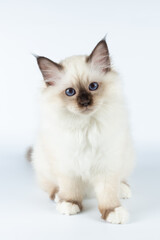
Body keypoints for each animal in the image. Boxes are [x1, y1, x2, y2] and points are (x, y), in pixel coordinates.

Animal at [30, 38, 134, 224]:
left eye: (93, 86)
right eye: (70, 92)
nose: (85, 102)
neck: (86, 127)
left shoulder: (107, 165)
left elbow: (108, 194)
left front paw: (113, 211)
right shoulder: (67, 164)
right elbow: (70, 189)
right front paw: (69, 204)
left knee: (120, 180)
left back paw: (123, 189)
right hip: (42, 160)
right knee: (50, 185)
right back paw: (58, 196)